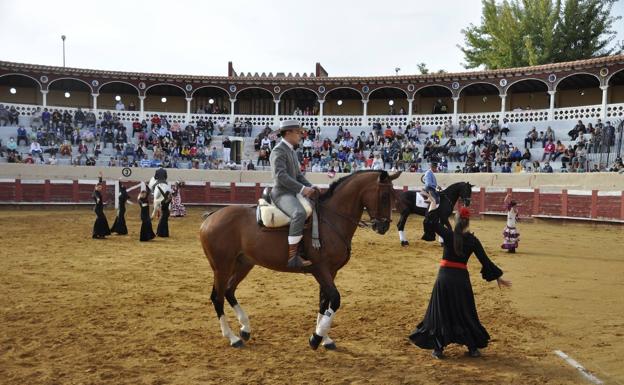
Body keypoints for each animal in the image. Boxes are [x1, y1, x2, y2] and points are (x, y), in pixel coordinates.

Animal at [202, 170, 402, 348]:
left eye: (394, 195)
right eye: (385, 196)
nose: (383, 226)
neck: (331, 219)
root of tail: (210, 218)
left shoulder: (331, 271)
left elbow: (324, 301)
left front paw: (324, 338)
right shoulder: (321, 269)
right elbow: (335, 299)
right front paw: (316, 338)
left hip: (244, 264)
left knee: (229, 291)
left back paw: (245, 328)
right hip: (222, 267)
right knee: (217, 297)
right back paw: (232, 337)